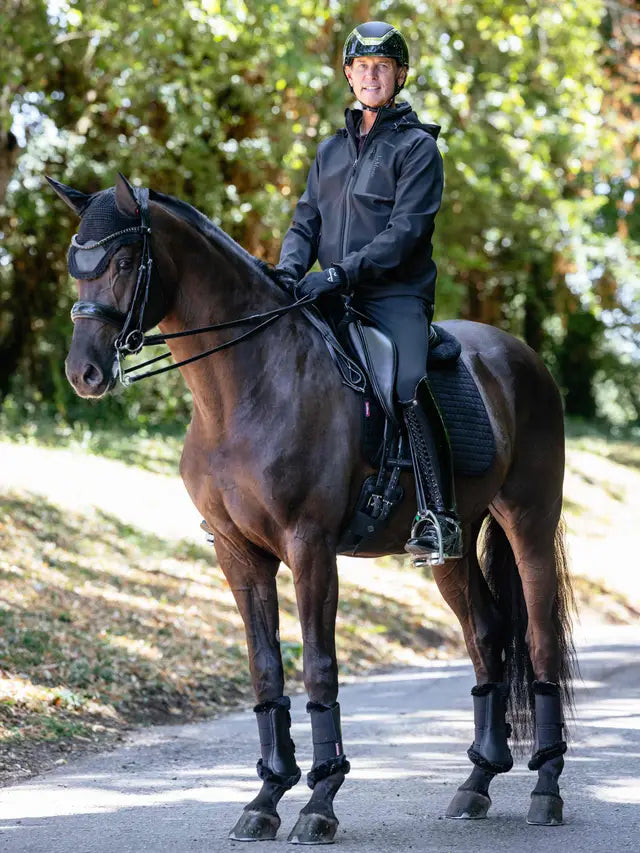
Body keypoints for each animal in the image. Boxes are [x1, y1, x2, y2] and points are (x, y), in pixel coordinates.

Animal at [48, 173, 575, 844]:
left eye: (121, 261)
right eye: (75, 265)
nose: (83, 373)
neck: (247, 388)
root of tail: (521, 355)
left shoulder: (310, 545)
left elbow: (319, 668)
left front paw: (319, 802)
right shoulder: (238, 553)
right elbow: (266, 670)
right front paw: (266, 798)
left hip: (530, 523)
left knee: (539, 640)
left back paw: (545, 789)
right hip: (452, 548)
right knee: (485, 634)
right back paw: (476, 784)